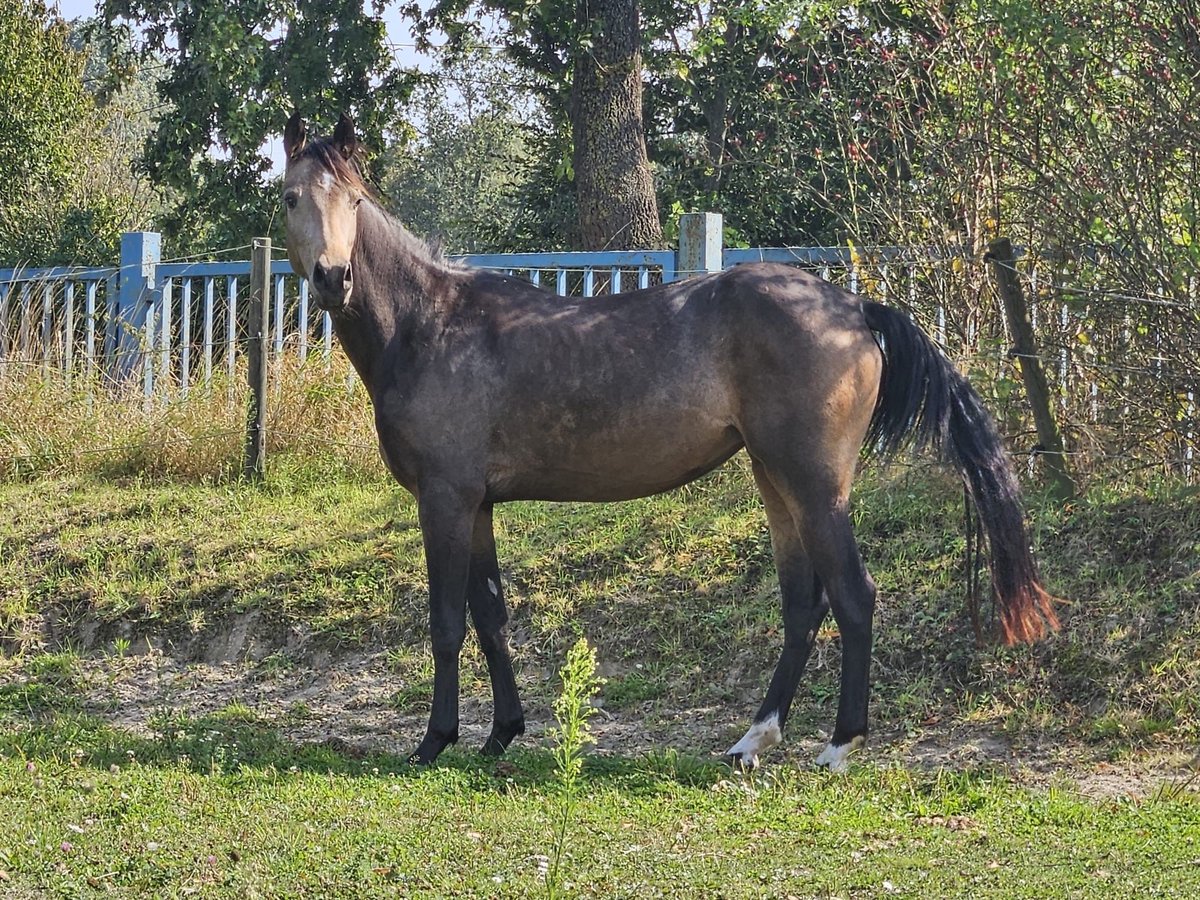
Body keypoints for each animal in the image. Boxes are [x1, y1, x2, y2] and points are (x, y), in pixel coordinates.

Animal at [280, 112, 1060, 772]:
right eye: (290, 198)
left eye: (354, 201)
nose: (334, 278)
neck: (430, 325)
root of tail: (853, 307)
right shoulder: (476, 505)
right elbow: (491, 615)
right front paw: (501, 733)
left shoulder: (443, 499)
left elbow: (446, 622)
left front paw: (433, 741)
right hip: (775, 482)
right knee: (802, 604)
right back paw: (753, 740)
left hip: (815, 485)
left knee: (853, 596)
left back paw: (839, 746)